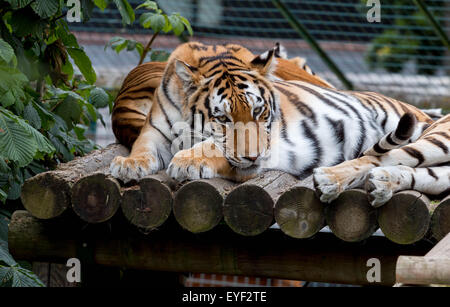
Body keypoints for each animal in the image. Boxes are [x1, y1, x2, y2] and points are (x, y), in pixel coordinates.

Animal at [110, 41, 444, 205]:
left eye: (259, 112)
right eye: (223, 118)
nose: (254, 157)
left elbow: (215, 149)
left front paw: (186, 161)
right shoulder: (154, 131)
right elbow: (142, 147)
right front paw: (128, 165)